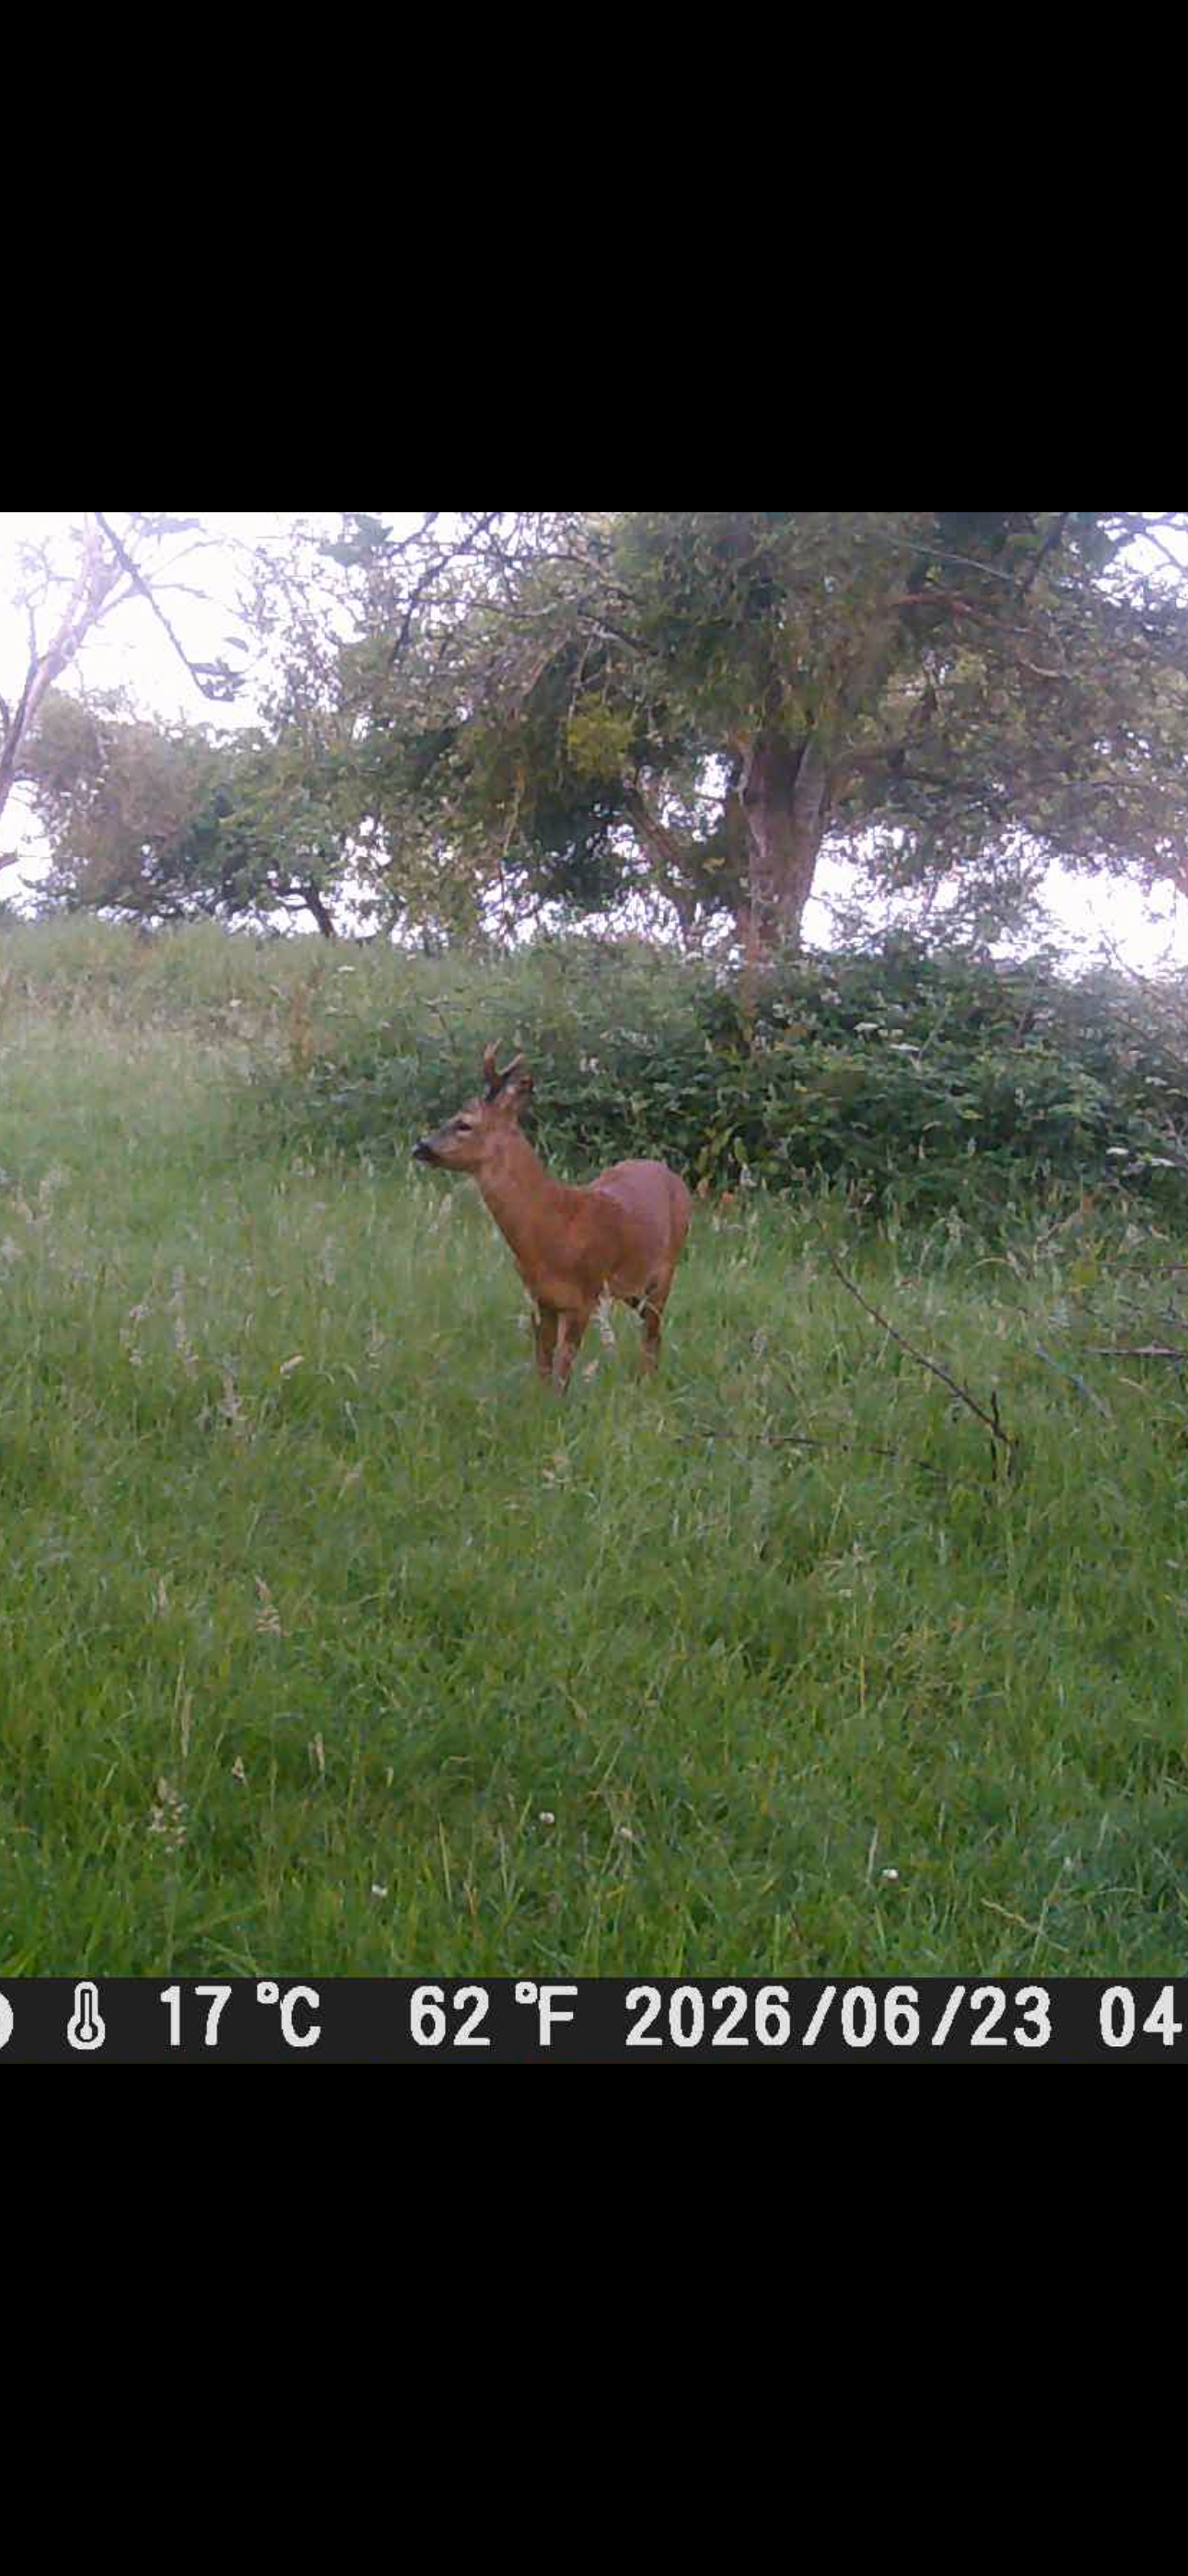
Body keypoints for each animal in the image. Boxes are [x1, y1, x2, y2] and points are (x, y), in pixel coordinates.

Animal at [413, 1044, 692, 1391]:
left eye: (464, 1124)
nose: (420, 1147)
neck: (552, 1228)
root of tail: (674, 1177)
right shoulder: (539, 1299)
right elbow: (544, 1367)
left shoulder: (585, 1295)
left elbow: (562, 1371)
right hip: (631, 1288)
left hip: (665, 1271)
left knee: (653, 1334)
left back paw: (648, 1383)